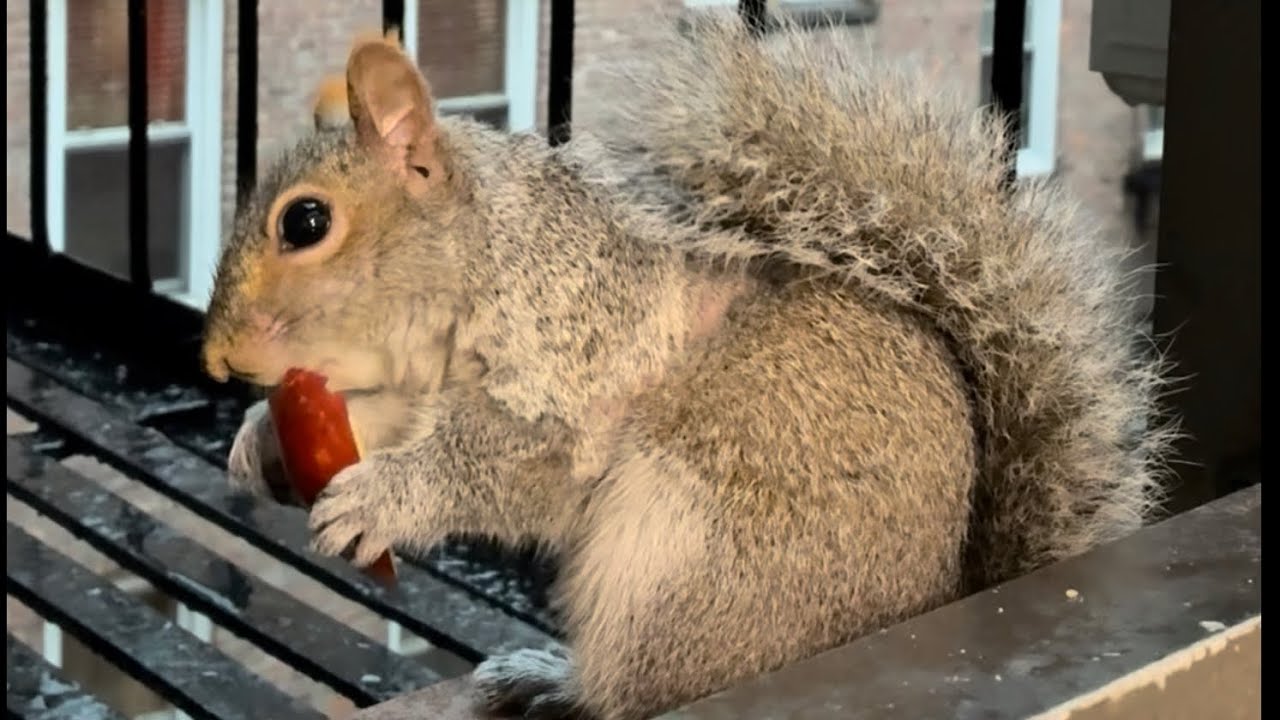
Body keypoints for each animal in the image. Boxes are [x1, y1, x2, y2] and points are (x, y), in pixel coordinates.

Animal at [202, 9, 1176, 720]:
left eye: (305, 222)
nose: (216, 358)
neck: (481, 262)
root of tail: (943, 597)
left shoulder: (578, 358)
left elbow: (507, 465)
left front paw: (381, 498)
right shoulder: (411, 387)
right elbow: (378, 417)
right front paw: (259, 442)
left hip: (683, 565)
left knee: (635, 695)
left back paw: (562, 683)